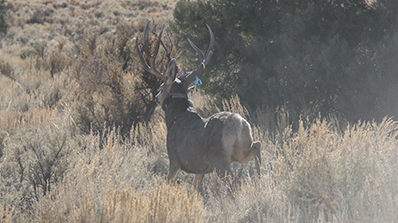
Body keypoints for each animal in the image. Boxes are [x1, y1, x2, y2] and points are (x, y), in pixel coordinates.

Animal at [137, 21, 262, 189]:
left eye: (161, 87)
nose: (157, 98)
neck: (175, 118)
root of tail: (239, 123)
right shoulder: (200, 170)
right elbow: (195, 188)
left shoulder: (174, 159)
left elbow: (168, 180)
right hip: (241, 149)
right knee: (257, 146)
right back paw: (260, 178)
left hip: (220, 158)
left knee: (232, 179)